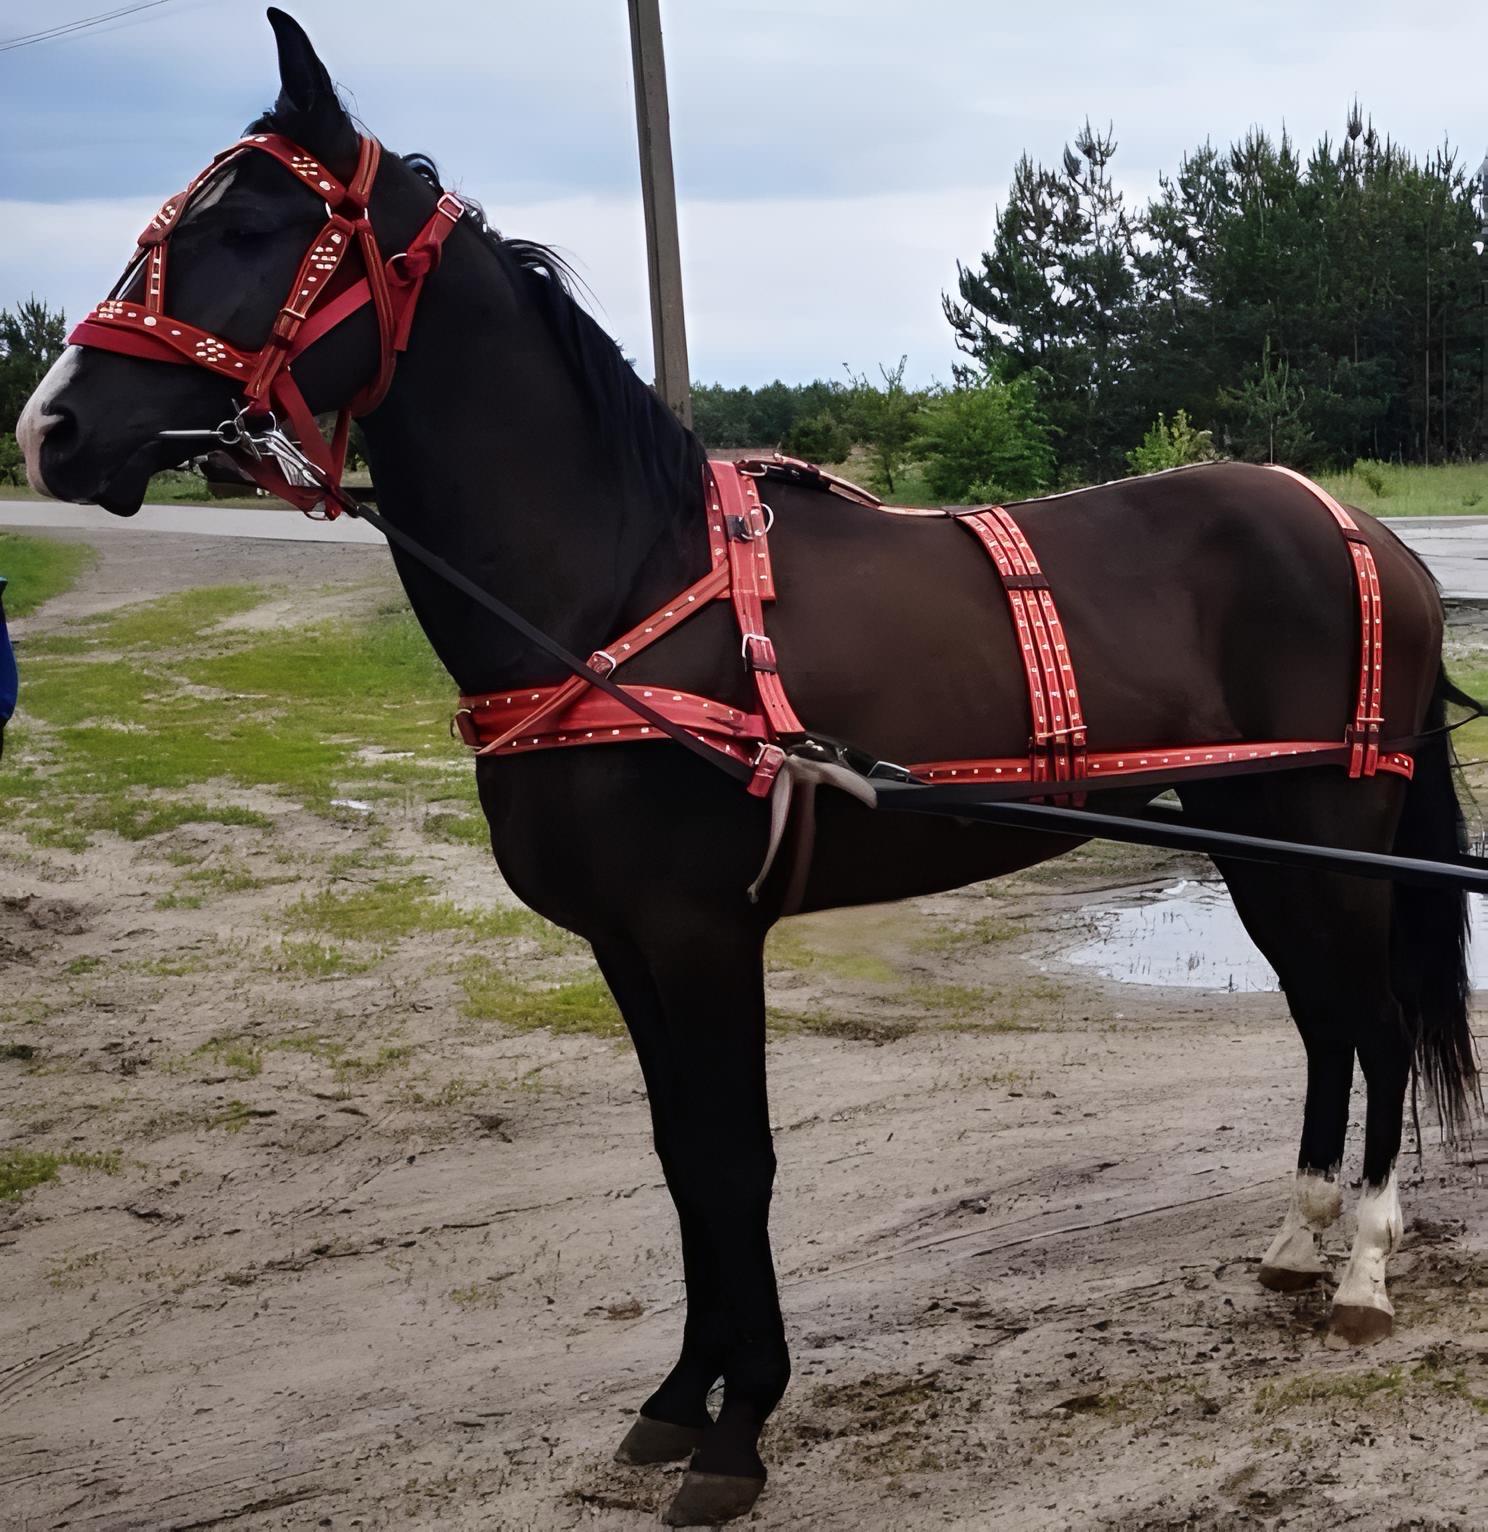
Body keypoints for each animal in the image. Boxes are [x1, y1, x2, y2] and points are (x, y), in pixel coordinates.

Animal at [16, 11, 1480, 1524]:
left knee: (1374, 1023)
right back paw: (1301, 1241)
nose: (52, 431)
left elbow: (736, 1156)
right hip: (1256, 833)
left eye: (252, 224)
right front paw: (675, 1400)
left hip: (1329, 825)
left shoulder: (701, 931)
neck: (619, 590)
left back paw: (1365, 1265)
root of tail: (1372, 533)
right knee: (1323, 1022)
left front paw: (739, 1424)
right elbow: (679, 1157)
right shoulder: (622, 943)